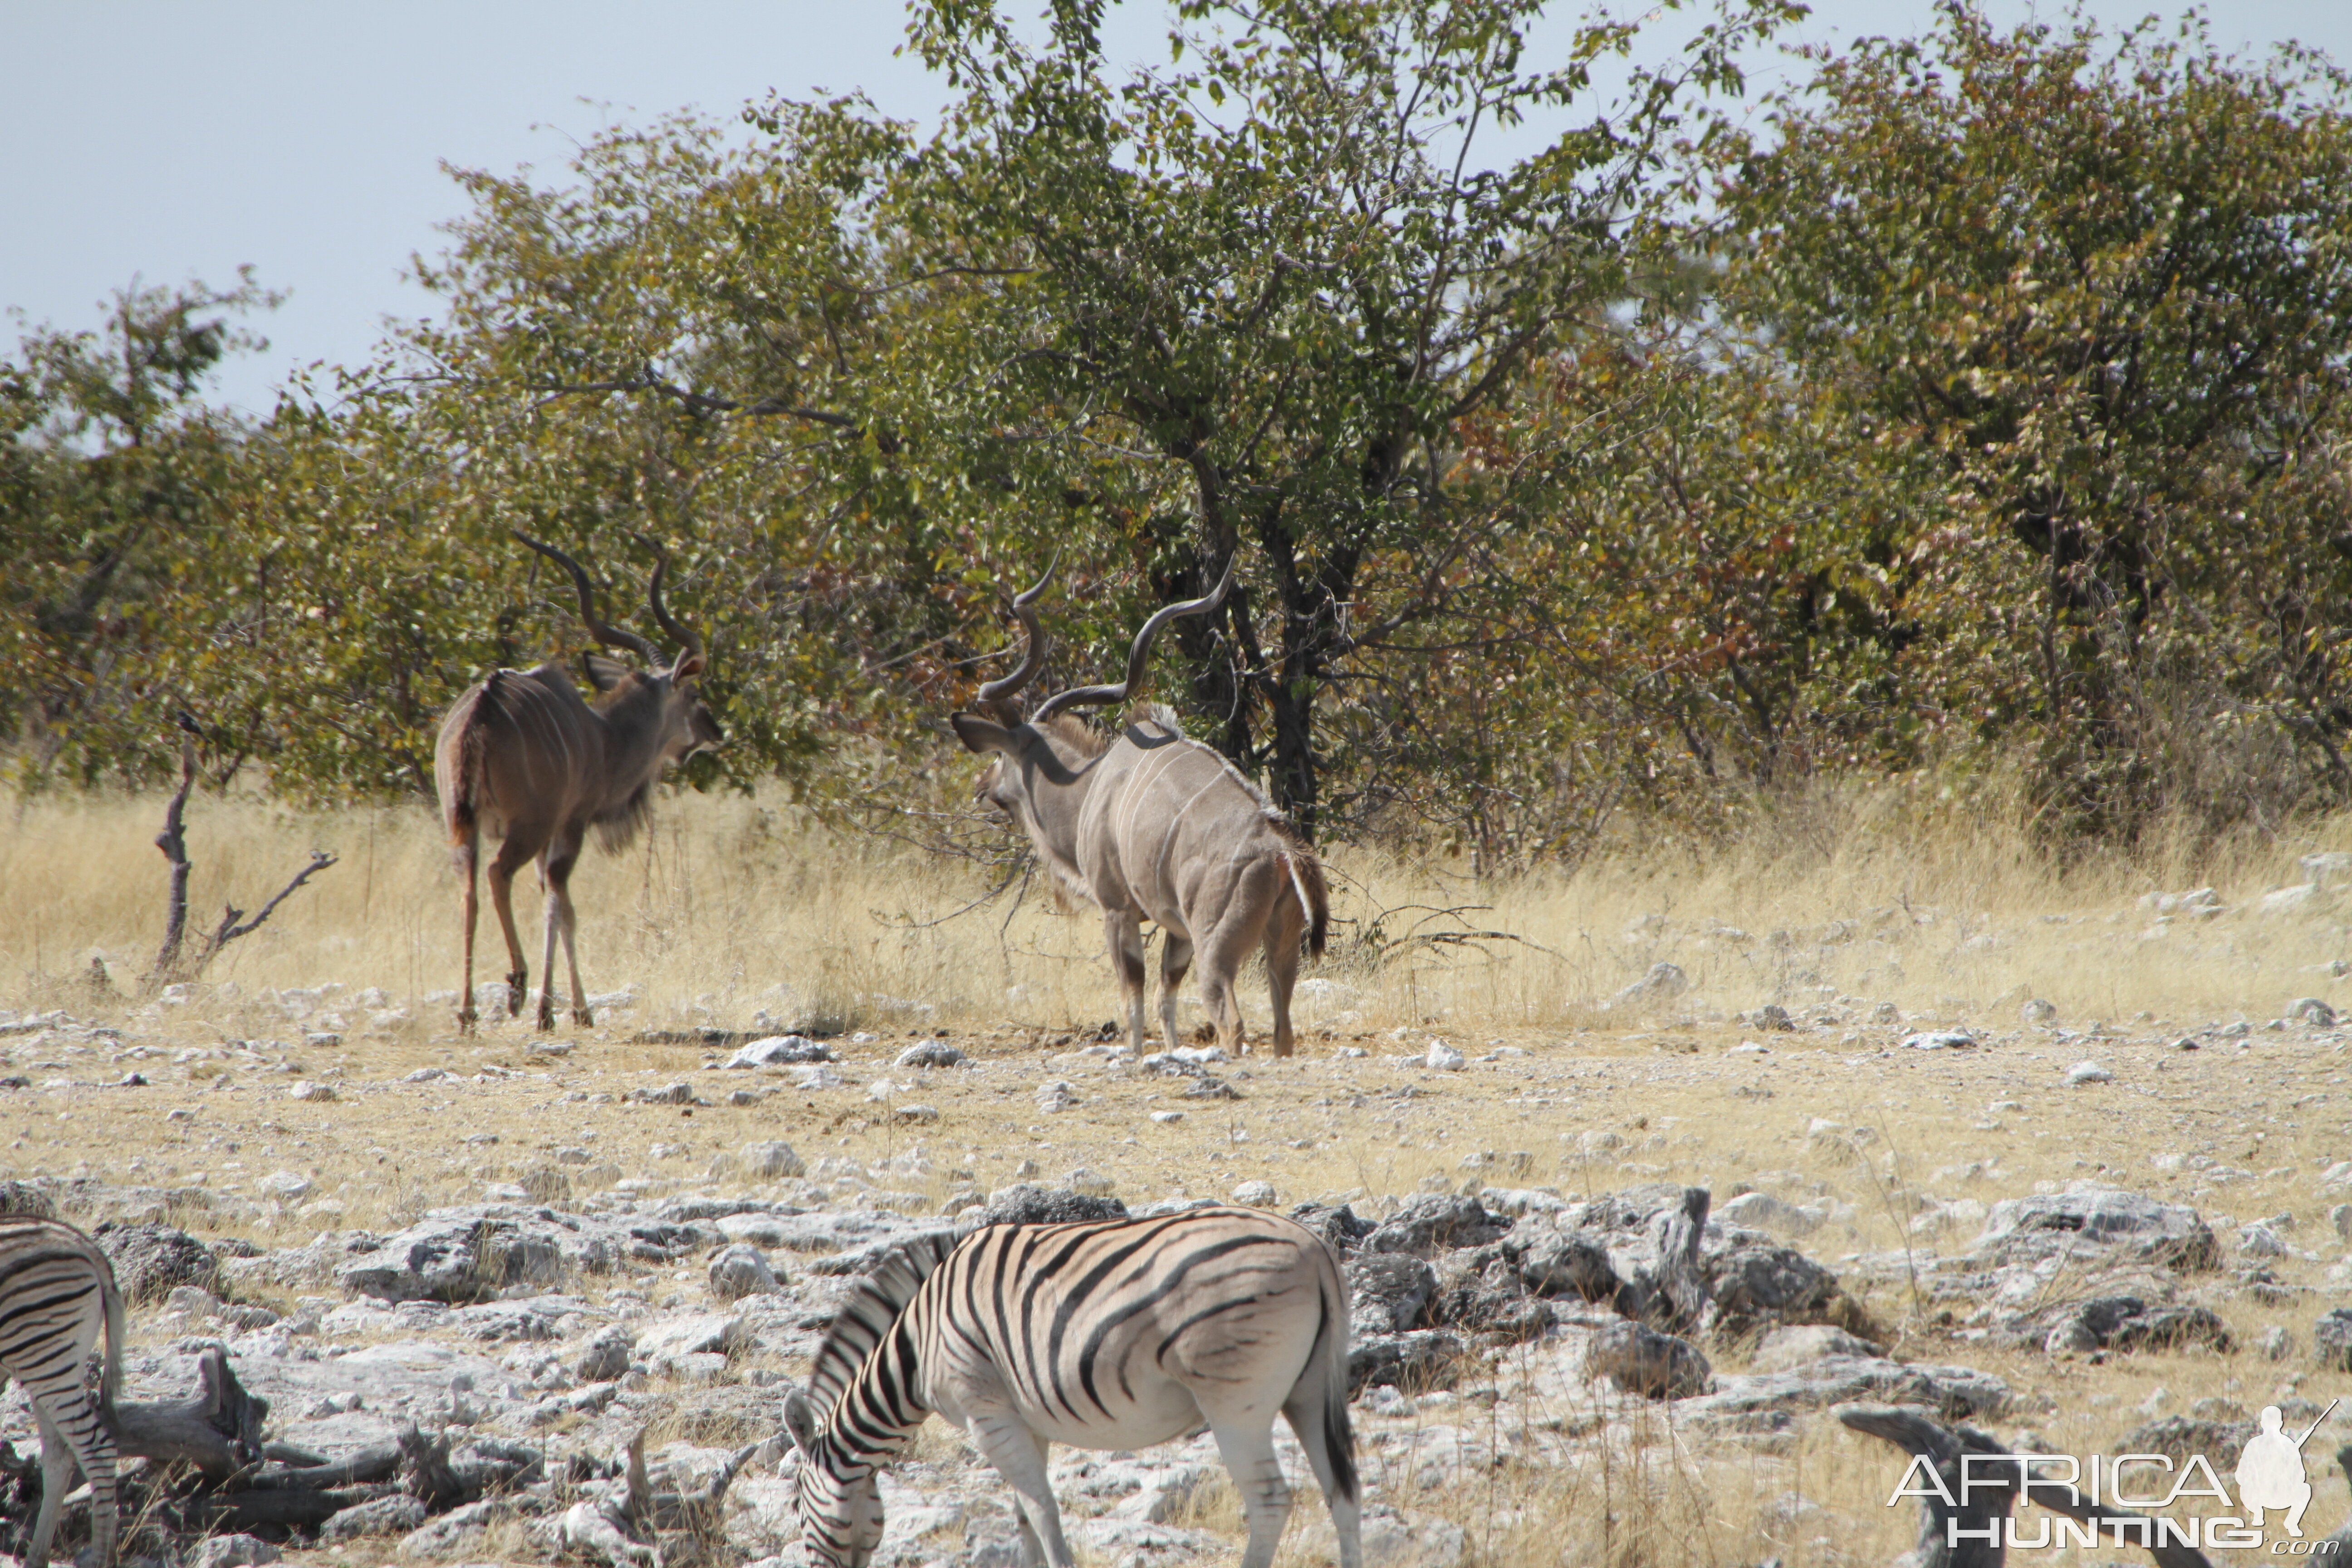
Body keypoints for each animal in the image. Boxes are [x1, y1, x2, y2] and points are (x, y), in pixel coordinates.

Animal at [0, 1213, 126, 1568]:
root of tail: (83, 1244)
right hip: (49, 1365)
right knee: (59, 1458)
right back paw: (37, 1558)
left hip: (45, 1361)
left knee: (96, 1451)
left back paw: (101, 1558)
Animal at [781, 1213, 1364, 1561]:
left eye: (795, 1506)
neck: (918, 1347)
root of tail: (1316, 1249)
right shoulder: (1023, 1419)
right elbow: (1024, 1515)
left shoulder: (986, 1412)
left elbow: (1042, 1511)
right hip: (1308, 1394)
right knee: (1343, 1495)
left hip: (1236, 1403)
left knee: (1269, 1501)